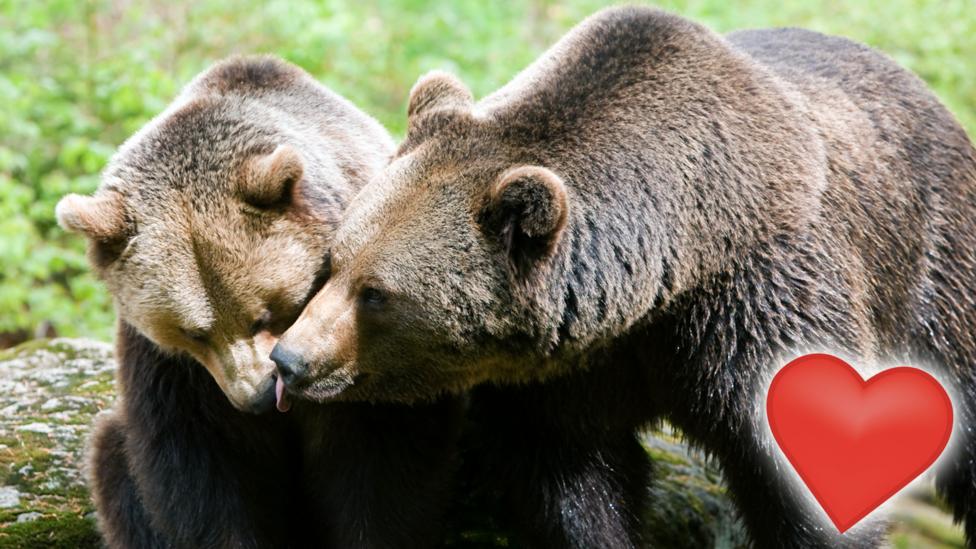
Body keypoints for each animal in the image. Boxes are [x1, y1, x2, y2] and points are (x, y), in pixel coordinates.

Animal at [57, 55, 462, 548]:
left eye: (263, 313)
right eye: (193, 332)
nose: (259, 395)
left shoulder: (365, 334)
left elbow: (380, 455)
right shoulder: (175, 370)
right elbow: (203, 463)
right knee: (112, 460)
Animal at [270, 7, 976, 548]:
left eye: (377, 295)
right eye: (334, 263)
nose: (290, 359)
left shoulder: (762, 305)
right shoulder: (565, 370)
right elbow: (572, 479)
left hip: (933, 268)